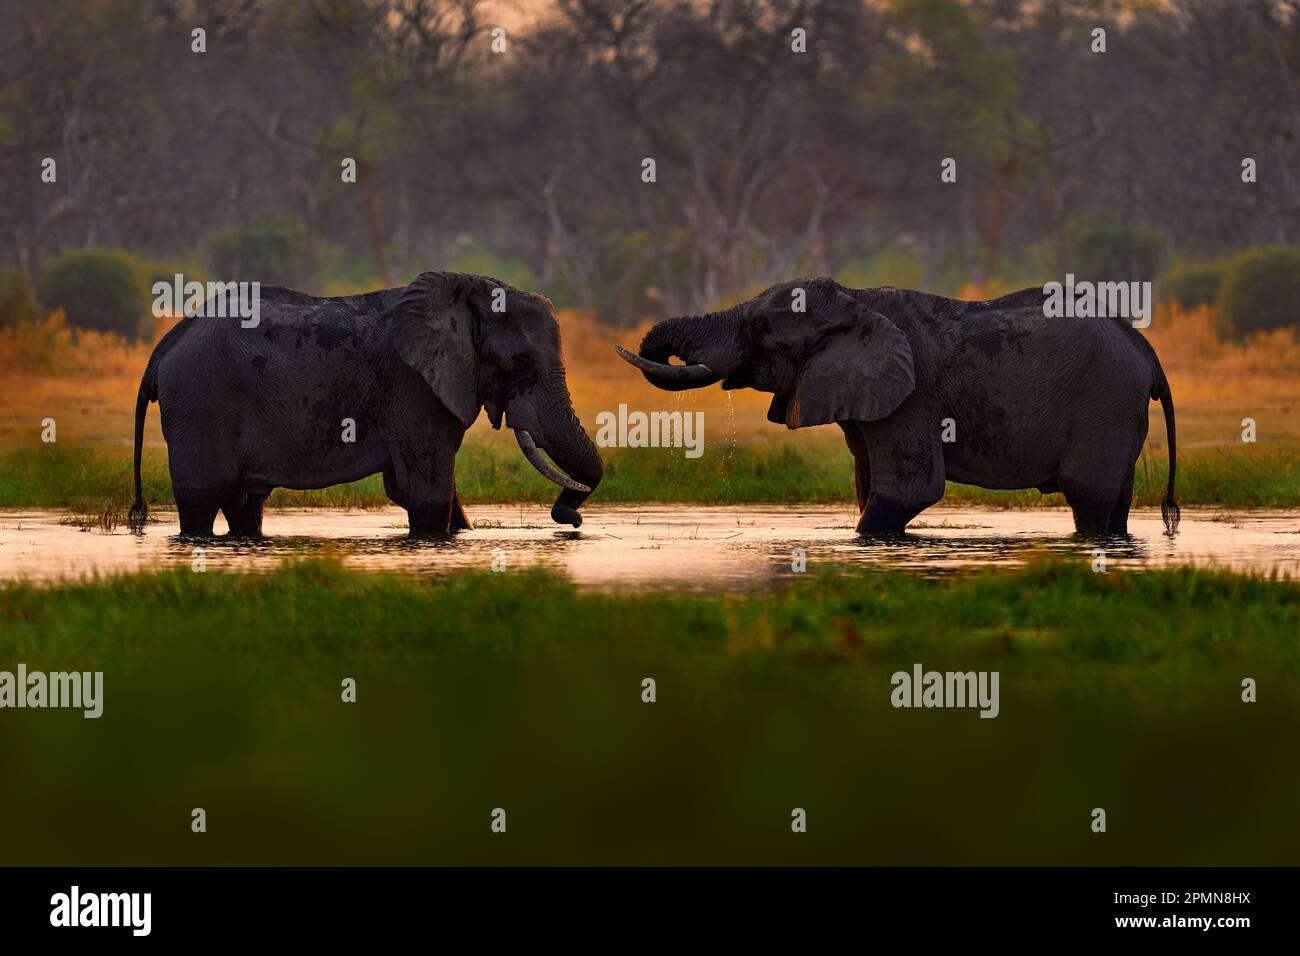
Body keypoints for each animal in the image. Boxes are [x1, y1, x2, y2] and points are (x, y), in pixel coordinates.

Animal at [126, 270, 603, 538]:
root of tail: (167, 344)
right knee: (201, 503)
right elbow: (428, 492)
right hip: (199, 405)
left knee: (245, 505)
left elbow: (423, 492)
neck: (468, 292)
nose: (571, 520)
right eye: (520, 362)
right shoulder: (414, 388)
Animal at [618, 277, 1180, 538]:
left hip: (1105, 403)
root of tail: (1144, 348)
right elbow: (868, 487)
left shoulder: (910, 397)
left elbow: (907, 490)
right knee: (1114, 503)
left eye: (759, 328)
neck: (854, 300)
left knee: (1089, 497)